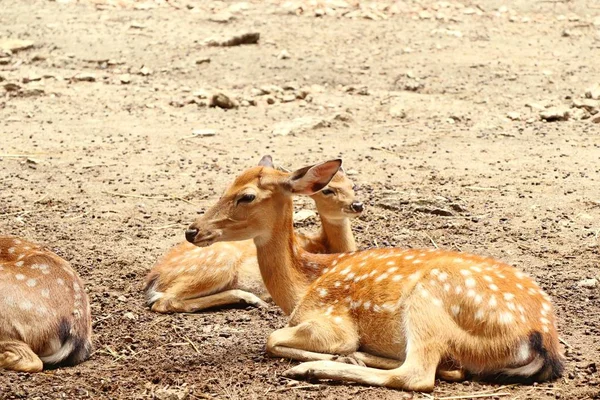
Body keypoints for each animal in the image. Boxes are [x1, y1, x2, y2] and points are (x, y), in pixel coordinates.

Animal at [144, 155, 366, 314]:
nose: (357, 205)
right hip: (218, 264)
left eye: (353, 185)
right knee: (164, 301)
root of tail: (154, 278)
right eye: (327, 191)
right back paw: (252, 299)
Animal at [184, 159, 564, 390]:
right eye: (226, 186)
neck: (302, 285)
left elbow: (273, 338)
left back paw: (317, 368)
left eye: (246, 196)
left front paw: (328, 355)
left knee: (418, 374)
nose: (192, 230)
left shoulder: (331, 321)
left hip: (428, 301)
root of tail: (541, 338)